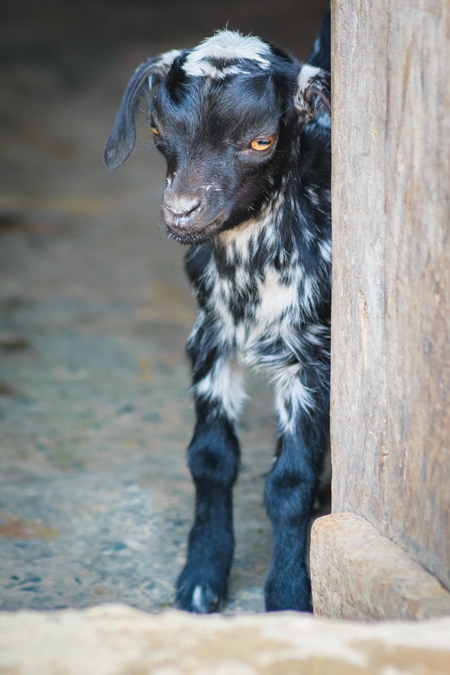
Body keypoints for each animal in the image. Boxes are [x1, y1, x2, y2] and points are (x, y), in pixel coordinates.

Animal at [104, 11, 330, 612]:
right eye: (158, 132)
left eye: (261, 139)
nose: (182, 211)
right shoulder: (209, 336)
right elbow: (209, 459)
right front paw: (201, 576)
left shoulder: (314, 359)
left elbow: (290, 483)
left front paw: (290, 594)